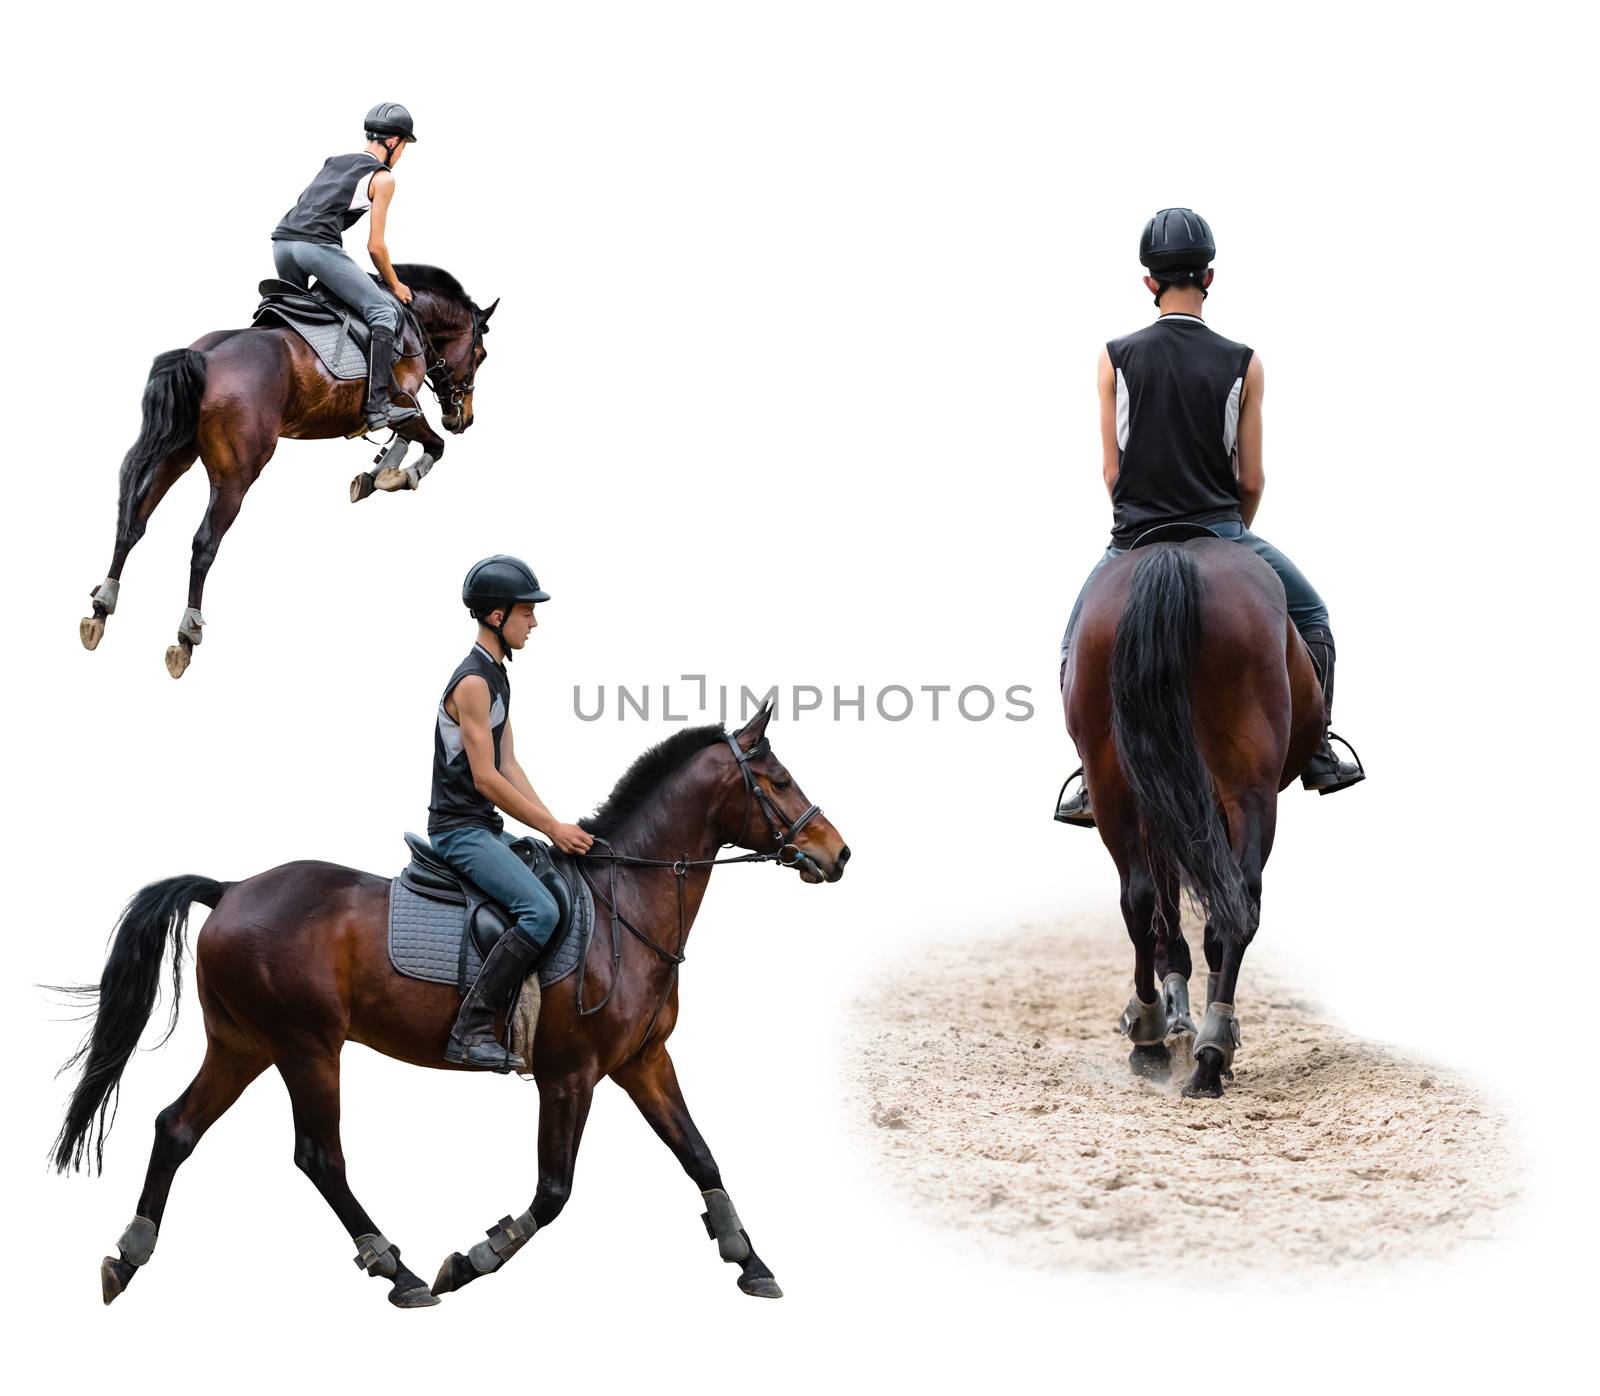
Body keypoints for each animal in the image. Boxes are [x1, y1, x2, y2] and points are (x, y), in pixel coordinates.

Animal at [51, 707, 851, 1306]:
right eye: (778, 779)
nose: (838, 853)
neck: (625, 904)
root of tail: (232, 889)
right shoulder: (571, 1075)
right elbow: (554, 1192)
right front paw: (472, 1259)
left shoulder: (644, 1062)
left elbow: (699, 1153)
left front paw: (750, 1260)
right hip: (307, 1048)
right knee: (319, 1156)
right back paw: (398, 1271)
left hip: (245, 1044)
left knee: (177, 1127)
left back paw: (128, 1257)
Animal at [75, 264, 496, 678]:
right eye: (480, 354)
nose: (463, 419)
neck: (409, 318)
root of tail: (203, 358)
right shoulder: (402, 405)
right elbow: (433, 446)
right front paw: (399, 475)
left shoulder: (403, 411)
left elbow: (406, 441)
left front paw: (375, 475)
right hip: (236, 475)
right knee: (203, 544)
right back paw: (186, 634)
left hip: (175, 456)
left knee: (135, 521)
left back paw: (100, 609)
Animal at [1062, 541, 1324, 1095]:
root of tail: (1173, 554)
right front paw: (1187, 1019)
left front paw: (1177, 1017)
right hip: (1242, 780)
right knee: (1236, 899)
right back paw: (1209, 1050)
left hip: (1115, 780)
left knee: (1142, 900)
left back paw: (1155, 1037)